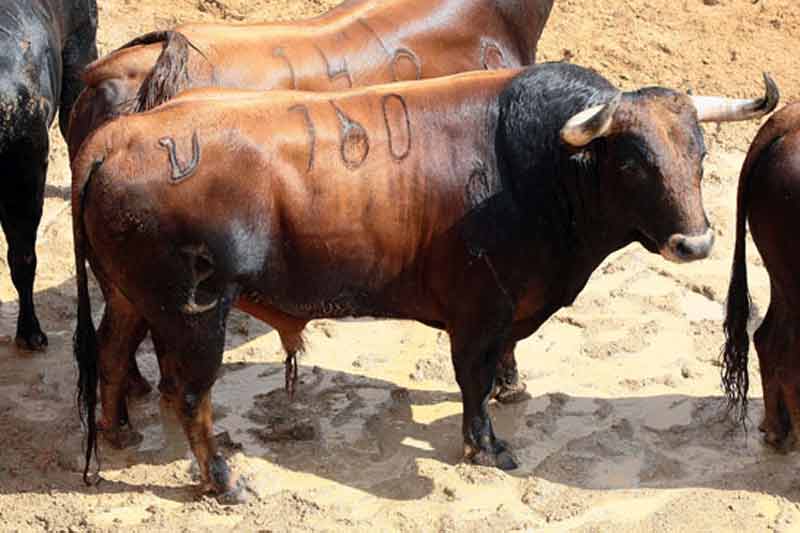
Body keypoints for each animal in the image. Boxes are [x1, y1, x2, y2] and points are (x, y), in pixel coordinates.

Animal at [73, 62, 776, 498]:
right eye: (632, 163)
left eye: (700, 154)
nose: (696, 242)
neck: (532, 169)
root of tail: (118, 138)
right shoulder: (478, 312)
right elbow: (473, 380)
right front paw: (486, 447)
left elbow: (498, 367)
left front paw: (510, 395)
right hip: (194, 314)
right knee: (190, 396)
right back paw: (224, 480)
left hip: (130, 296)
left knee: (111, 354)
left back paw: (117, 434)